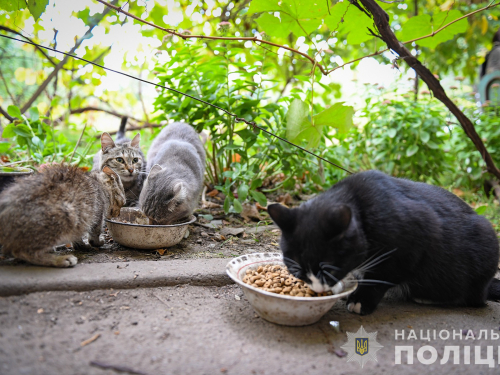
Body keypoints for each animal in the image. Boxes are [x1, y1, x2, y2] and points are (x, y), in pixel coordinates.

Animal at [270, 172, 500, 316]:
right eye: (296, 271)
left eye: (329, 268)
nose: (318, 289)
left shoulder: (415, 239)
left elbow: (383, 275)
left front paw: (361, 299)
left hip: (486, 245)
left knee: (475, 299)